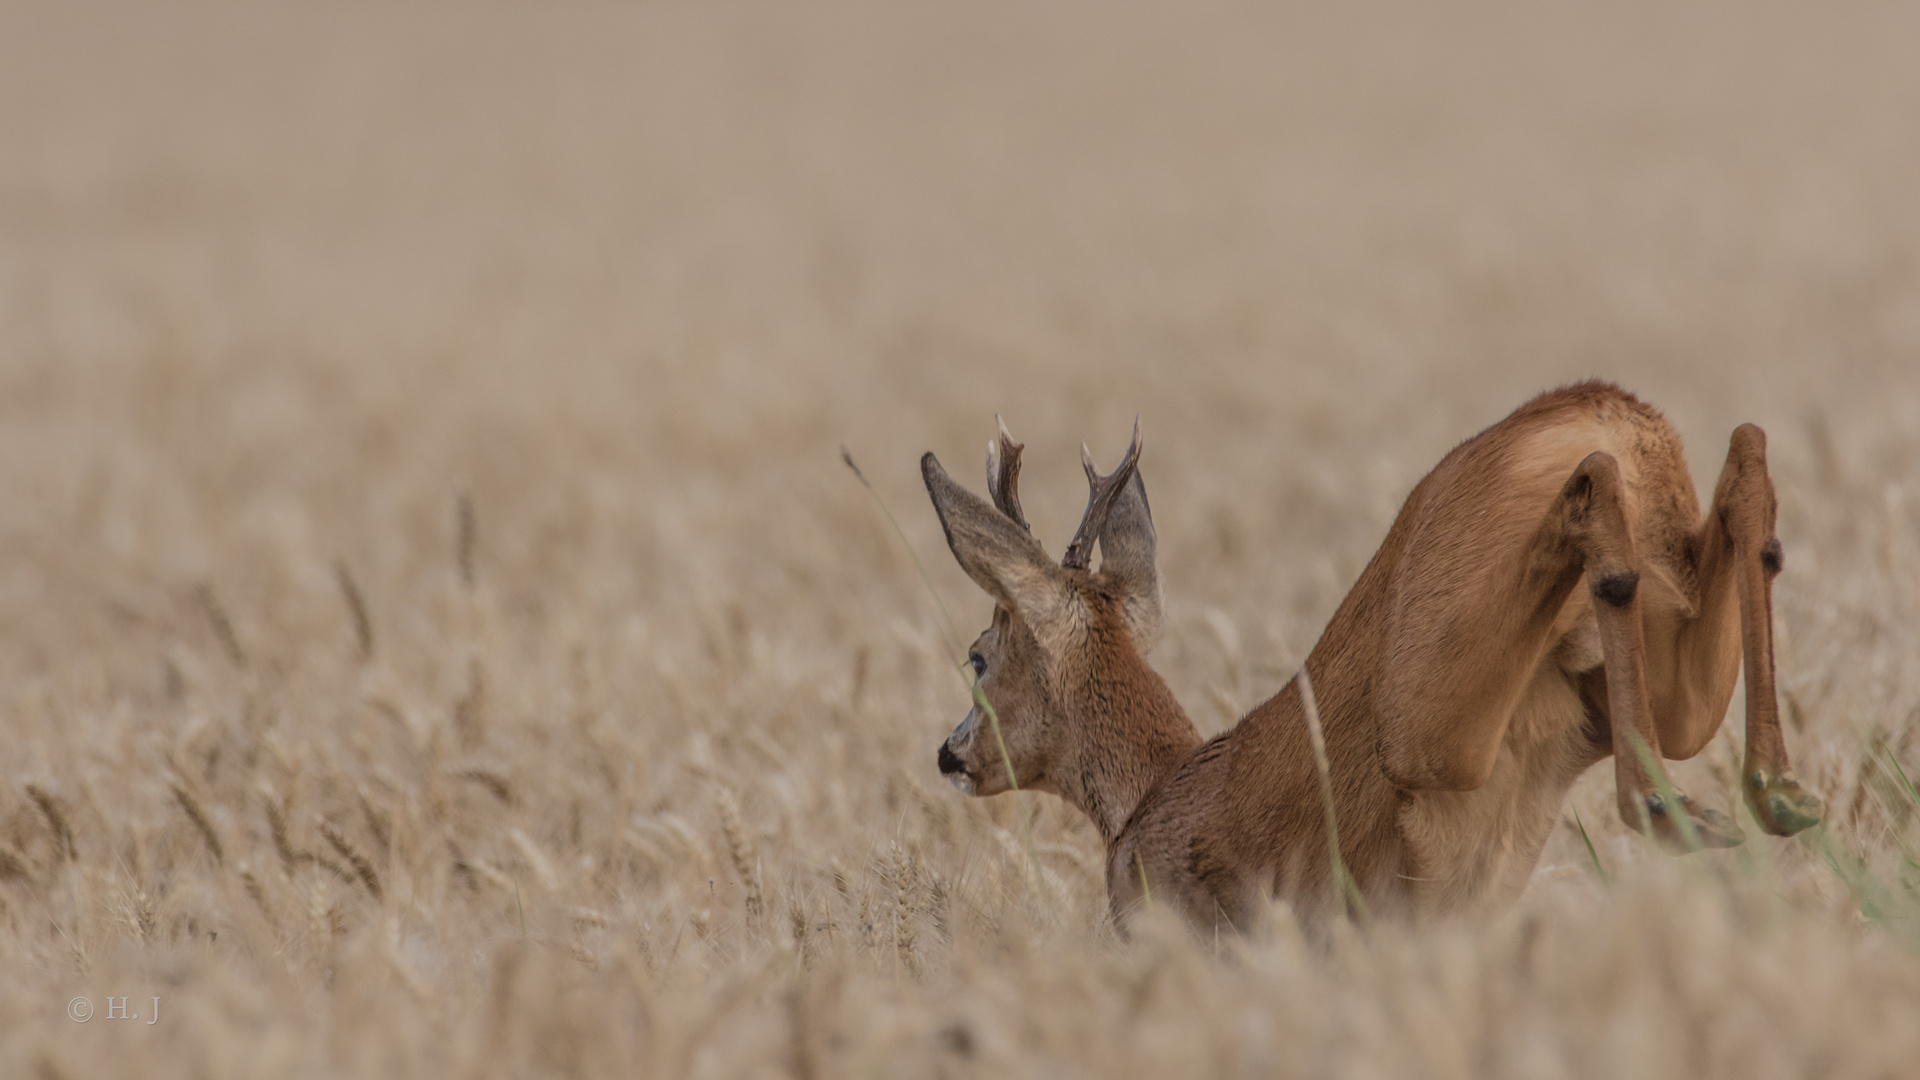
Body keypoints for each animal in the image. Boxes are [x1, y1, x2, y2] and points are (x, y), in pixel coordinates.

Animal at [921, 380, 1820, 926]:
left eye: (978, 655)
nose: (950, 754)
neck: (1151, 795)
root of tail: (1603, 407)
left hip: (1430, 722)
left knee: (1597, 490)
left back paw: (1676, 810)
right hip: (1636, 692)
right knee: (1743, 455)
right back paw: (1775, 796)